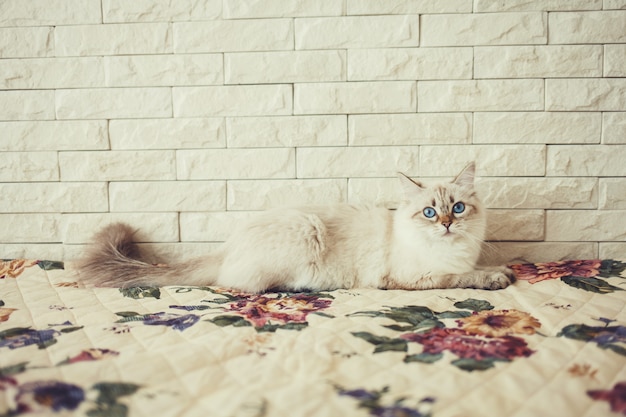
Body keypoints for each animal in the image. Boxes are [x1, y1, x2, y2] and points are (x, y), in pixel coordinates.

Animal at [78, 162, 516, 292]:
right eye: (429, 213)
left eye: (457, 208)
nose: (446, 224)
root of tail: (227, 246)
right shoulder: (416, 278)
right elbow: (462, 278)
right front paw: (496, 277)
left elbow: (477, 269)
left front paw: (503, 271)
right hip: (304, 233)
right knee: (243, 287)